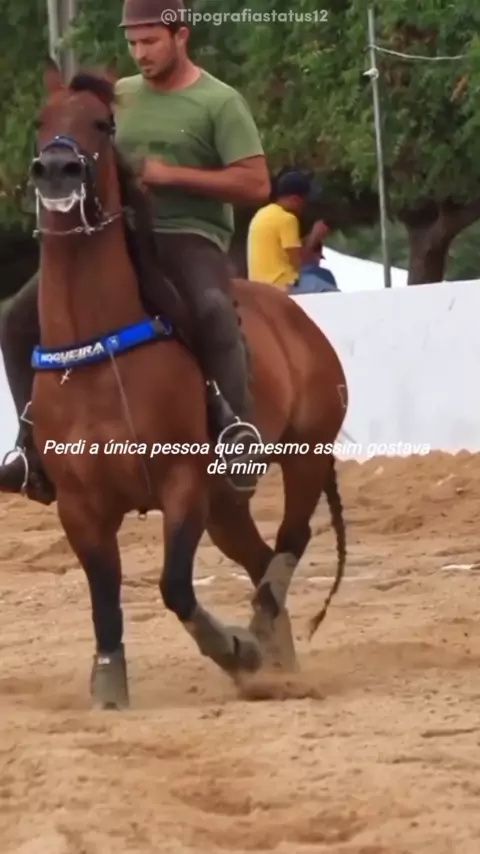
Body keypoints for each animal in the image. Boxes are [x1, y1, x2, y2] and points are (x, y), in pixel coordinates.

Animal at [1, 61, 348, 709]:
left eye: (102, 124)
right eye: (40, 119)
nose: (56, 170)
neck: (101, 349)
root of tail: (298, 321)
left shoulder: (183, 484)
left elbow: (175, 587)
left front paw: (234, 649)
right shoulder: (80, 507)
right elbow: (105, 600)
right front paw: (109, 687)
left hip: (305, 456)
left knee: (287, 543)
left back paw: (260, 640)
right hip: (226, 505)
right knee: (259, 556)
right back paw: (275, 654)